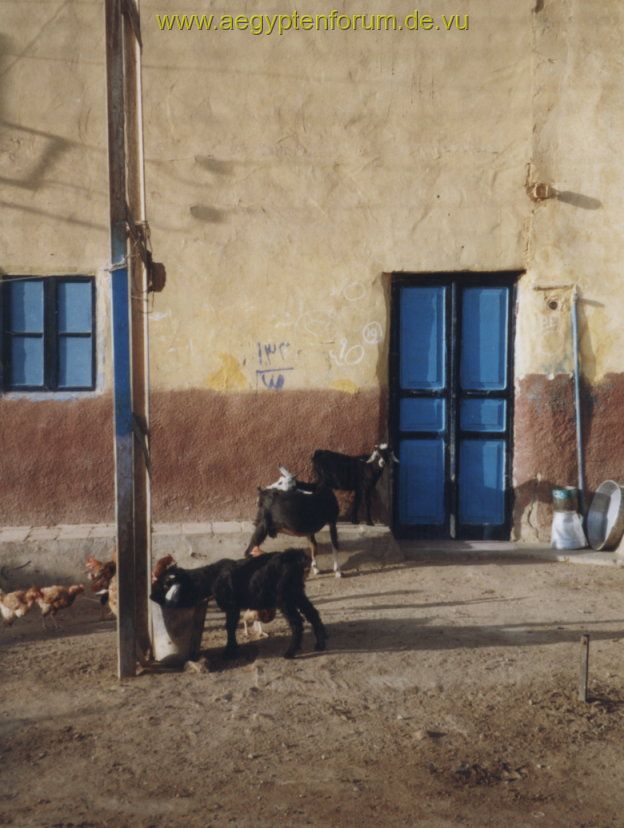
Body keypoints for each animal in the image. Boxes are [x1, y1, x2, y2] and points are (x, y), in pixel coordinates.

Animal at [150, 548, 326, 660]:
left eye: (164, 585)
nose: (151, 596)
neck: (210, 577)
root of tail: (294, 557)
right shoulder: (233, 608)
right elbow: (231, 626)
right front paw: (232, 649)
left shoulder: (231, 606)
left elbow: (229, 627)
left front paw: (229, 651)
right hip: (297, 593)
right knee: (313, 614)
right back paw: (320, 644)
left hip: (285, 597)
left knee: (297, 622)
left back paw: (290, 653)